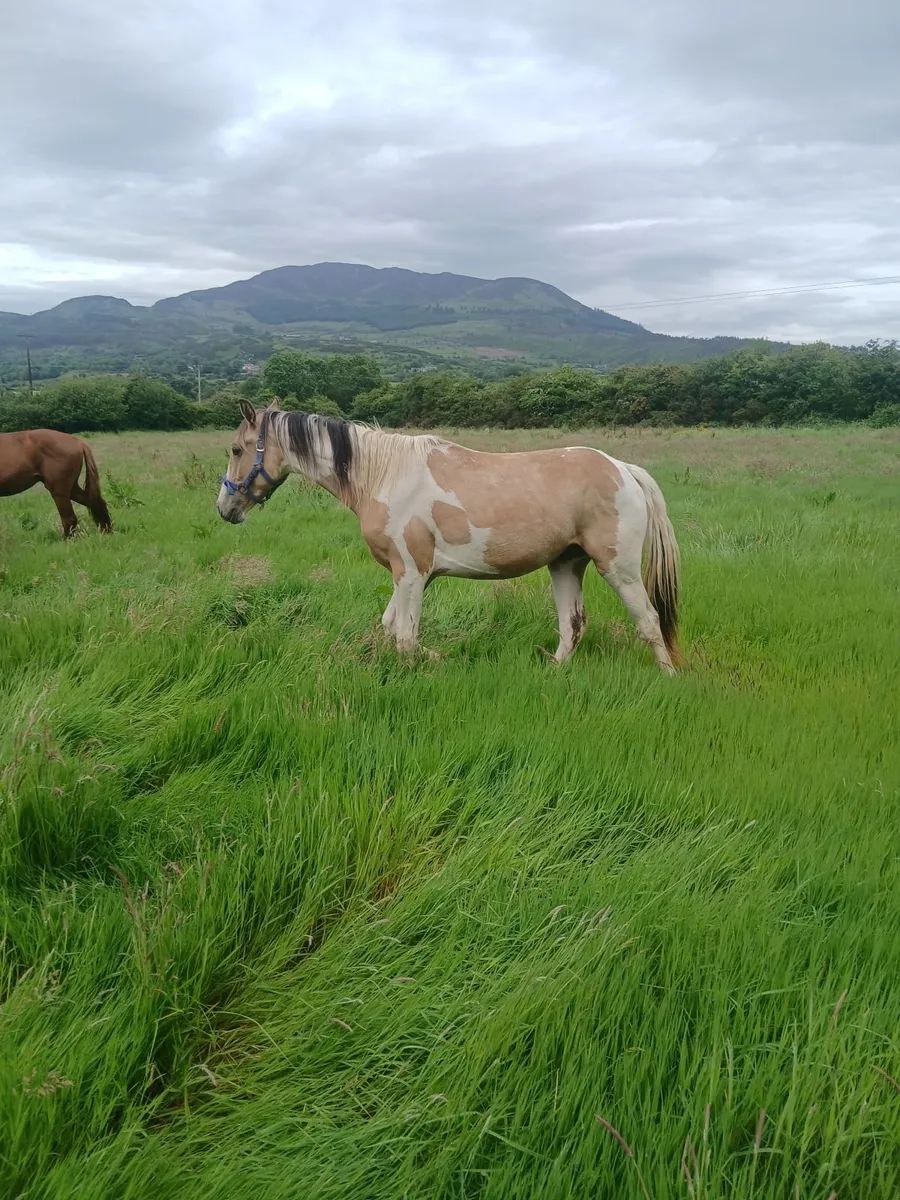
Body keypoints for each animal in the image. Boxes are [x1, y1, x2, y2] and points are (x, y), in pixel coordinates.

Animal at [217, 399, 682, 672]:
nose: (225, 508)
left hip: (618, 568)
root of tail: (624, 469)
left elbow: (406, 638)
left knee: (648, 620)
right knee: (572, 625)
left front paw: (432, 661)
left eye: (237, 449)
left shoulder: (412, 573)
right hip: (566, 564)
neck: (384, 475)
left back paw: (668, 676)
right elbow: (391, 628)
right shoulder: (404, 574)